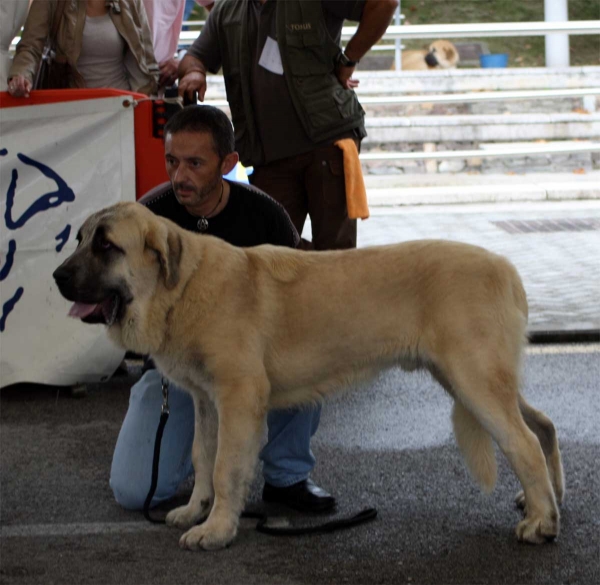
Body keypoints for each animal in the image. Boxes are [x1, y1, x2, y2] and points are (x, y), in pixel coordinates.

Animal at [54, 203, 564, 548]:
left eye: (106, 245)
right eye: (80, 239)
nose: (57, 276)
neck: (180, 288)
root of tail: (507, 268)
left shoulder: (238, 398)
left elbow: (224, 468)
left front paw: (217, 529)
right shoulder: (206, 401)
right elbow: (203, 458)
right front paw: (194, 511)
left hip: (475, 380)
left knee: (523, 443)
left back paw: (541, 521)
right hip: (471, 379)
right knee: (542, 425)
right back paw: (546, 498)